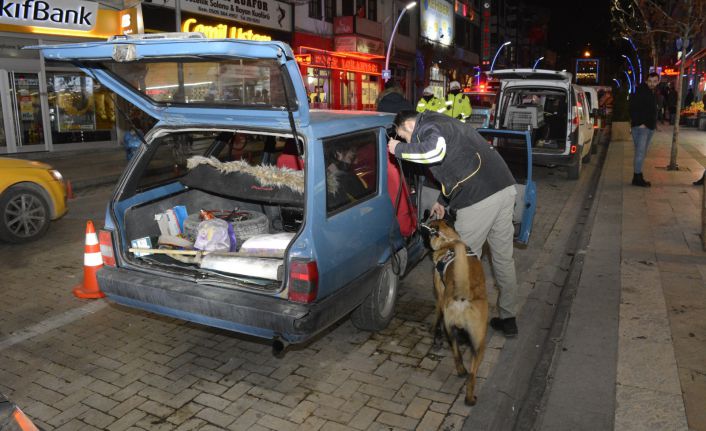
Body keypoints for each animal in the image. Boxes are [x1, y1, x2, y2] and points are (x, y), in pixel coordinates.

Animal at [424, 221, 484, 406]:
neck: (448, 241)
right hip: (477, 342)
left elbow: (436, 317)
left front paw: (433, 332)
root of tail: (463, 295)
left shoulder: (439, 296)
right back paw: (469, 395)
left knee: (457, 355)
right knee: (470, 373)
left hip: (451, 327)